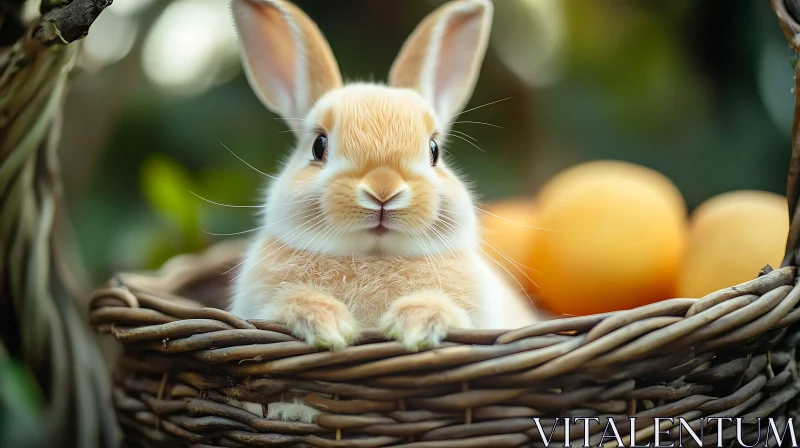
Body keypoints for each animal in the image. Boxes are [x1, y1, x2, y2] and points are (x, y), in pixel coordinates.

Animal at [225, 0, 536, 354]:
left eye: (434, 151)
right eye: (319, 146)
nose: (383, 190)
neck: (374, 255)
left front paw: (415, 325)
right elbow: (289, 303)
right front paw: (328, 326)